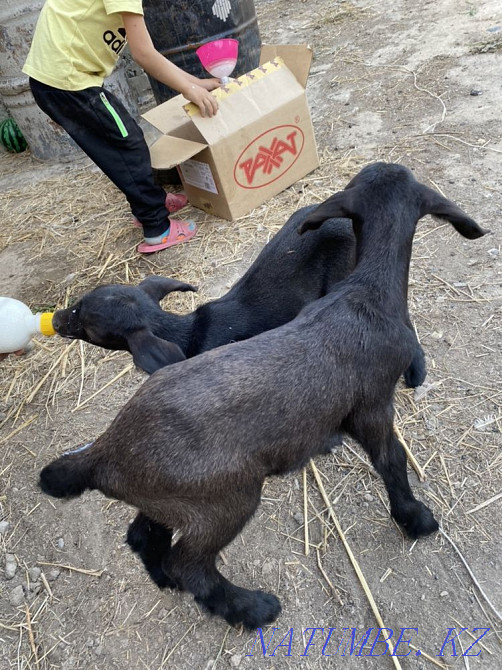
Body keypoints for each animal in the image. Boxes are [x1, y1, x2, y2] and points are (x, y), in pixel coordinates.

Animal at [39, 163, 487, 630]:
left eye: (87, 320)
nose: (58, 319)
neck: (365, 293)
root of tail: (102, 453)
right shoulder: (373, 407)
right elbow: (392, 461)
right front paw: (415, 518)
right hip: (224, 499)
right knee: (190, 563)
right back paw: (251, 608)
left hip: (168, 500)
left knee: (145, 537)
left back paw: (169, 582)